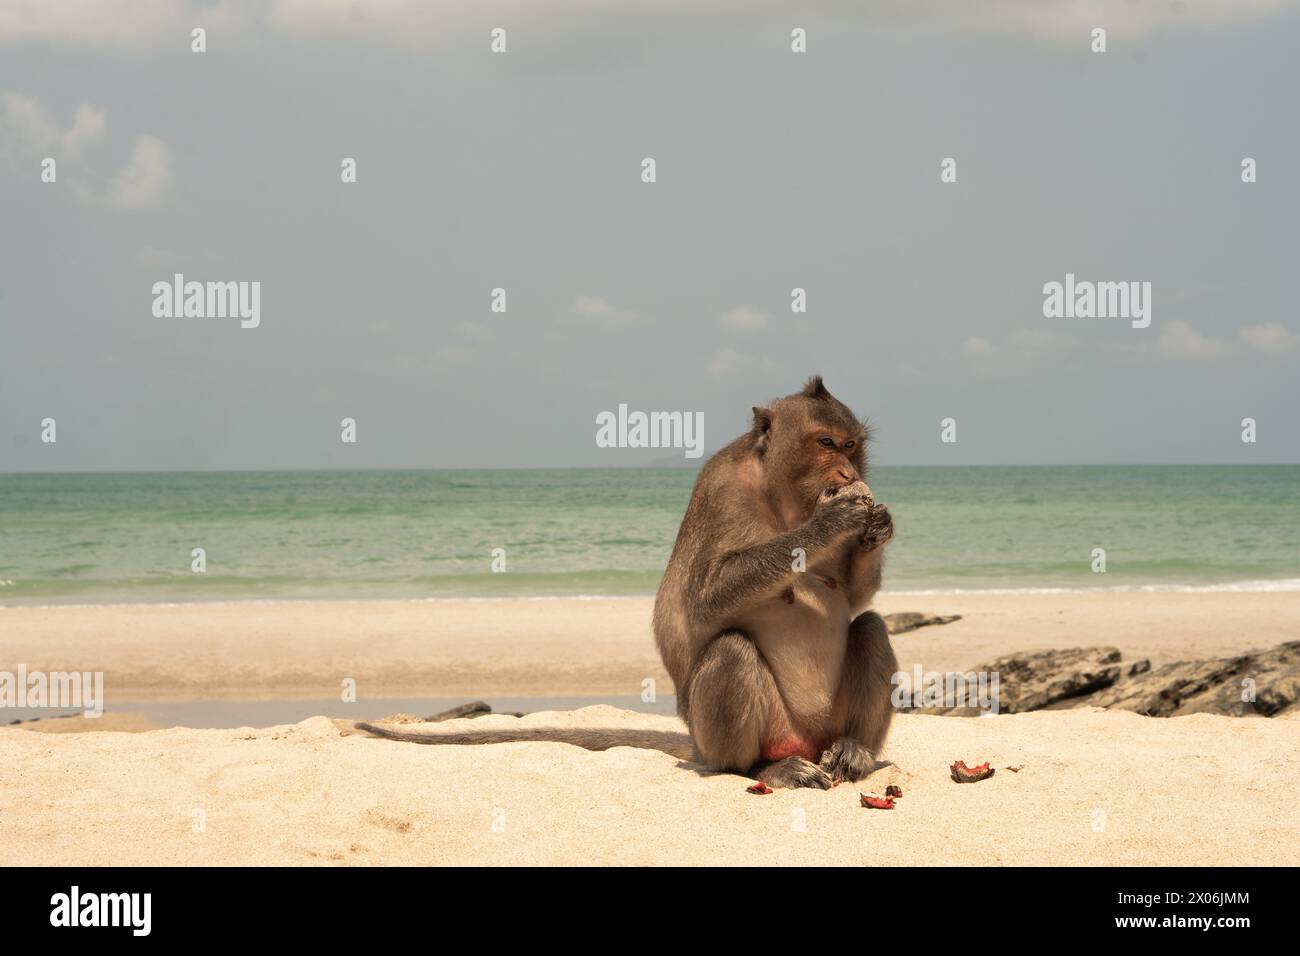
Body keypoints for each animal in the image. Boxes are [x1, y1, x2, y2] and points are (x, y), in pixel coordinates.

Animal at [655, 377, 899, 790]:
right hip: (749, 734)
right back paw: (758, 768)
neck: (781, 498)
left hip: (829, 727)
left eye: (850, 445)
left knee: (871, 627)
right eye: (826, 443)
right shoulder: (721, 490)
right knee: (731, 648)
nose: (849, 475)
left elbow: (854, 598)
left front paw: (877, 527)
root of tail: (807, 743)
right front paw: (828, 522)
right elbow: (705, 600)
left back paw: (855, 751)